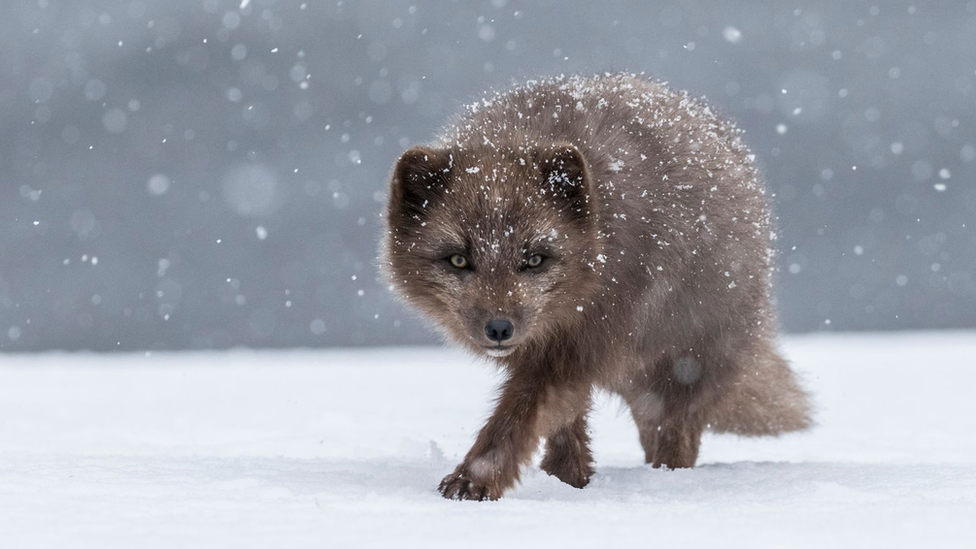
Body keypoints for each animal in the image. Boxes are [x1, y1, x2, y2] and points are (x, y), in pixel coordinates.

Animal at [380, 74, 808, 500]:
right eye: (458, 260)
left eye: (534, 259)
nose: (499, 329)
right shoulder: (557, 353)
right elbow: (560, 419)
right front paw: (568, 480)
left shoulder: (575, 346)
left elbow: (518, 418)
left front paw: (474, 480)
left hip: (687, 361)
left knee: (676, 433)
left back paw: (667, 478)